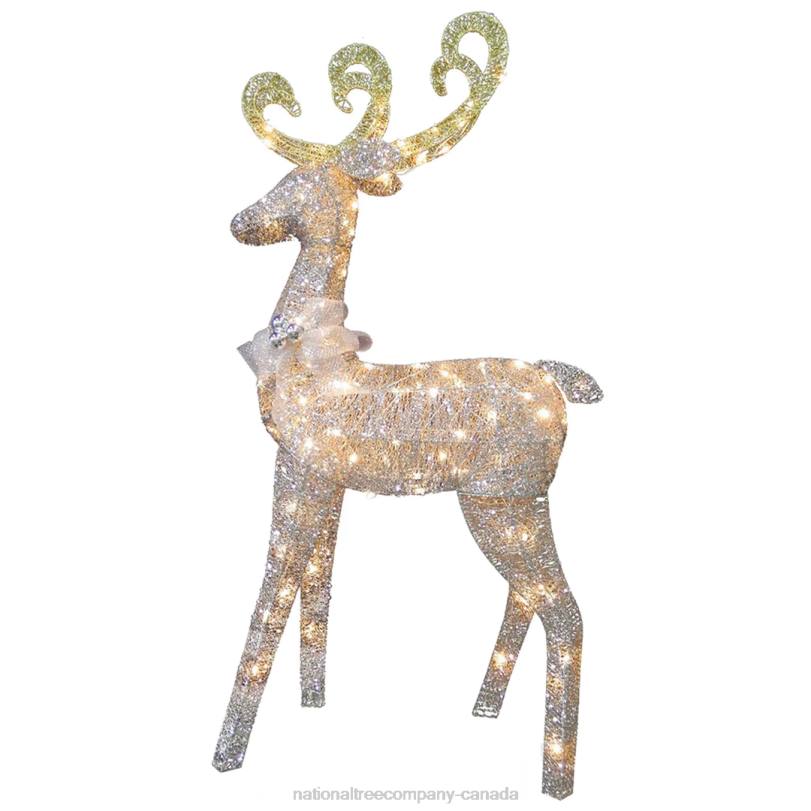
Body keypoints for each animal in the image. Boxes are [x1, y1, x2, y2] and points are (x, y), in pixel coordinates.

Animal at [213, 12, 602, 801]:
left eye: (291, 179)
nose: (240, 219)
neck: (313, 358)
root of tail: (558, 384)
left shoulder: (298, 467)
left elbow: (271, 593)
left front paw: (226, 754)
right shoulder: (329, 477)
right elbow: (318, 588)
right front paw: (314, 704)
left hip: (499, 500)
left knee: (567, 611)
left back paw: (555, 778)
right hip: (520, 501)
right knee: (529, 597)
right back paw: (483, 709)